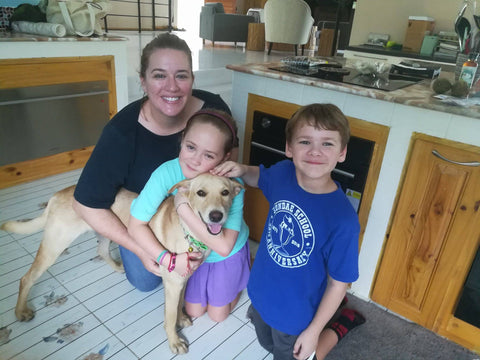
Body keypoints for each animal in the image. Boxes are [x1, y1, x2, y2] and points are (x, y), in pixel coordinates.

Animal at [0, 174, 244, 354]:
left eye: (225, 193)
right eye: (201, 193)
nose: (216, 216)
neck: (191, 232)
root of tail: (57, 194)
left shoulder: (184, 278)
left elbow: (179, 305)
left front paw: (182, 318)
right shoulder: (173, 282)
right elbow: (169, 315)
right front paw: (174, 340)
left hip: (102, 232)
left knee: (100, 250)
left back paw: (117, 266)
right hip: (54, 246)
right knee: (26, 278)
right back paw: (21, 311)